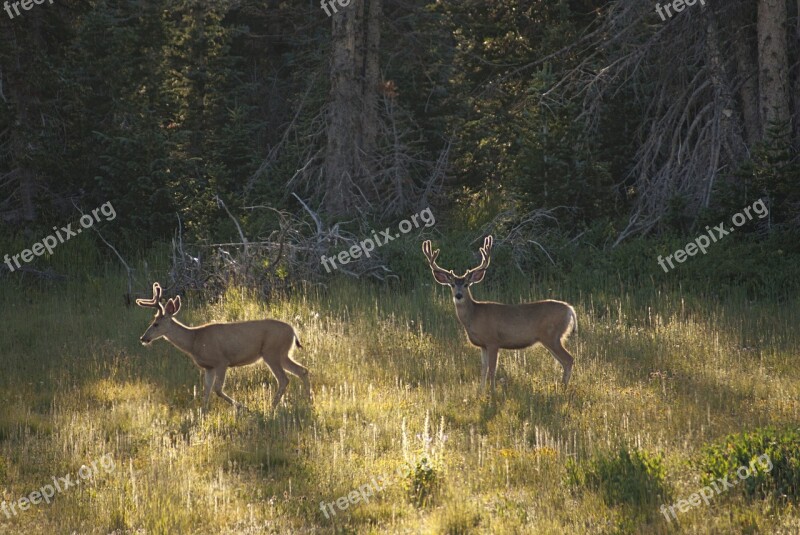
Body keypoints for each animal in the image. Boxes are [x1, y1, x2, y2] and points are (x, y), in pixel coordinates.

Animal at [136, 284, 310, 414]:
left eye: (156, 324)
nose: (143, 338)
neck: (194, 340)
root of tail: (293, 331)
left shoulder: (221, 361)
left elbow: (218, 389)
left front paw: (243, 407)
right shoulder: (208, 367)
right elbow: (206, 391)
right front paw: (203, 412)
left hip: (271, 352)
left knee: (284, 379)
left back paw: (272, 407)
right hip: (282, 354)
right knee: (302, 370)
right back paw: (308, 400)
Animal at [422, 237, 580, 392]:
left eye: (467, 284)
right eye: (452, 285)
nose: (459, 295)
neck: (474, 316)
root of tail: (570, 309)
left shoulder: (493, 341)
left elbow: (492, 369)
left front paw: (492, 392)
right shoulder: (483, 345)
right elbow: (483, 369)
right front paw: (481, 392)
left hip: (552, 336)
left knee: (569, 359)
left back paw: (563, 389)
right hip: (552, 338)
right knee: (564, 361)